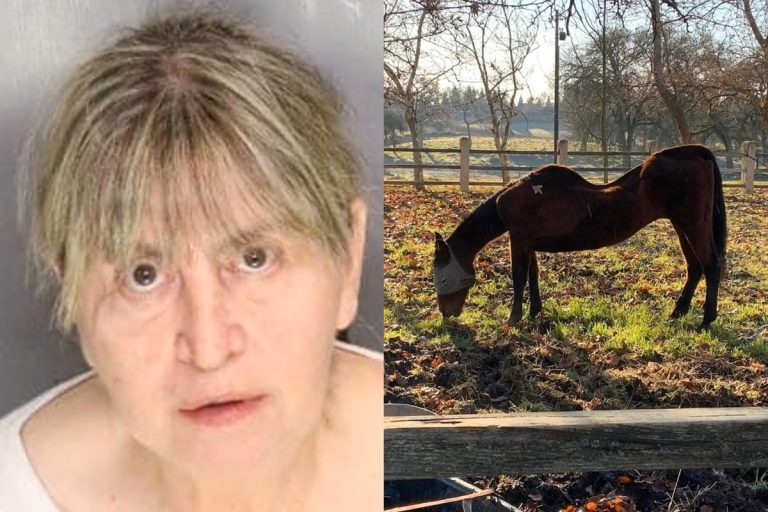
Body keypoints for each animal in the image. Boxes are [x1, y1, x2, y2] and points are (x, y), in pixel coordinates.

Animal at [432, 144, 727, 331]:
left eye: (443, 278)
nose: (446, 314)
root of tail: (696, 153)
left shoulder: (518, 239)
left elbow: (518, 278)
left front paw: (513, 320)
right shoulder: (528, 242)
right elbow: (533, 275)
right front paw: (535, 313)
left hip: (692, 224)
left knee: (710, 265)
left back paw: (706, 321)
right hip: (681, 226)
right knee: (694, 267)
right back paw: (678, 312)